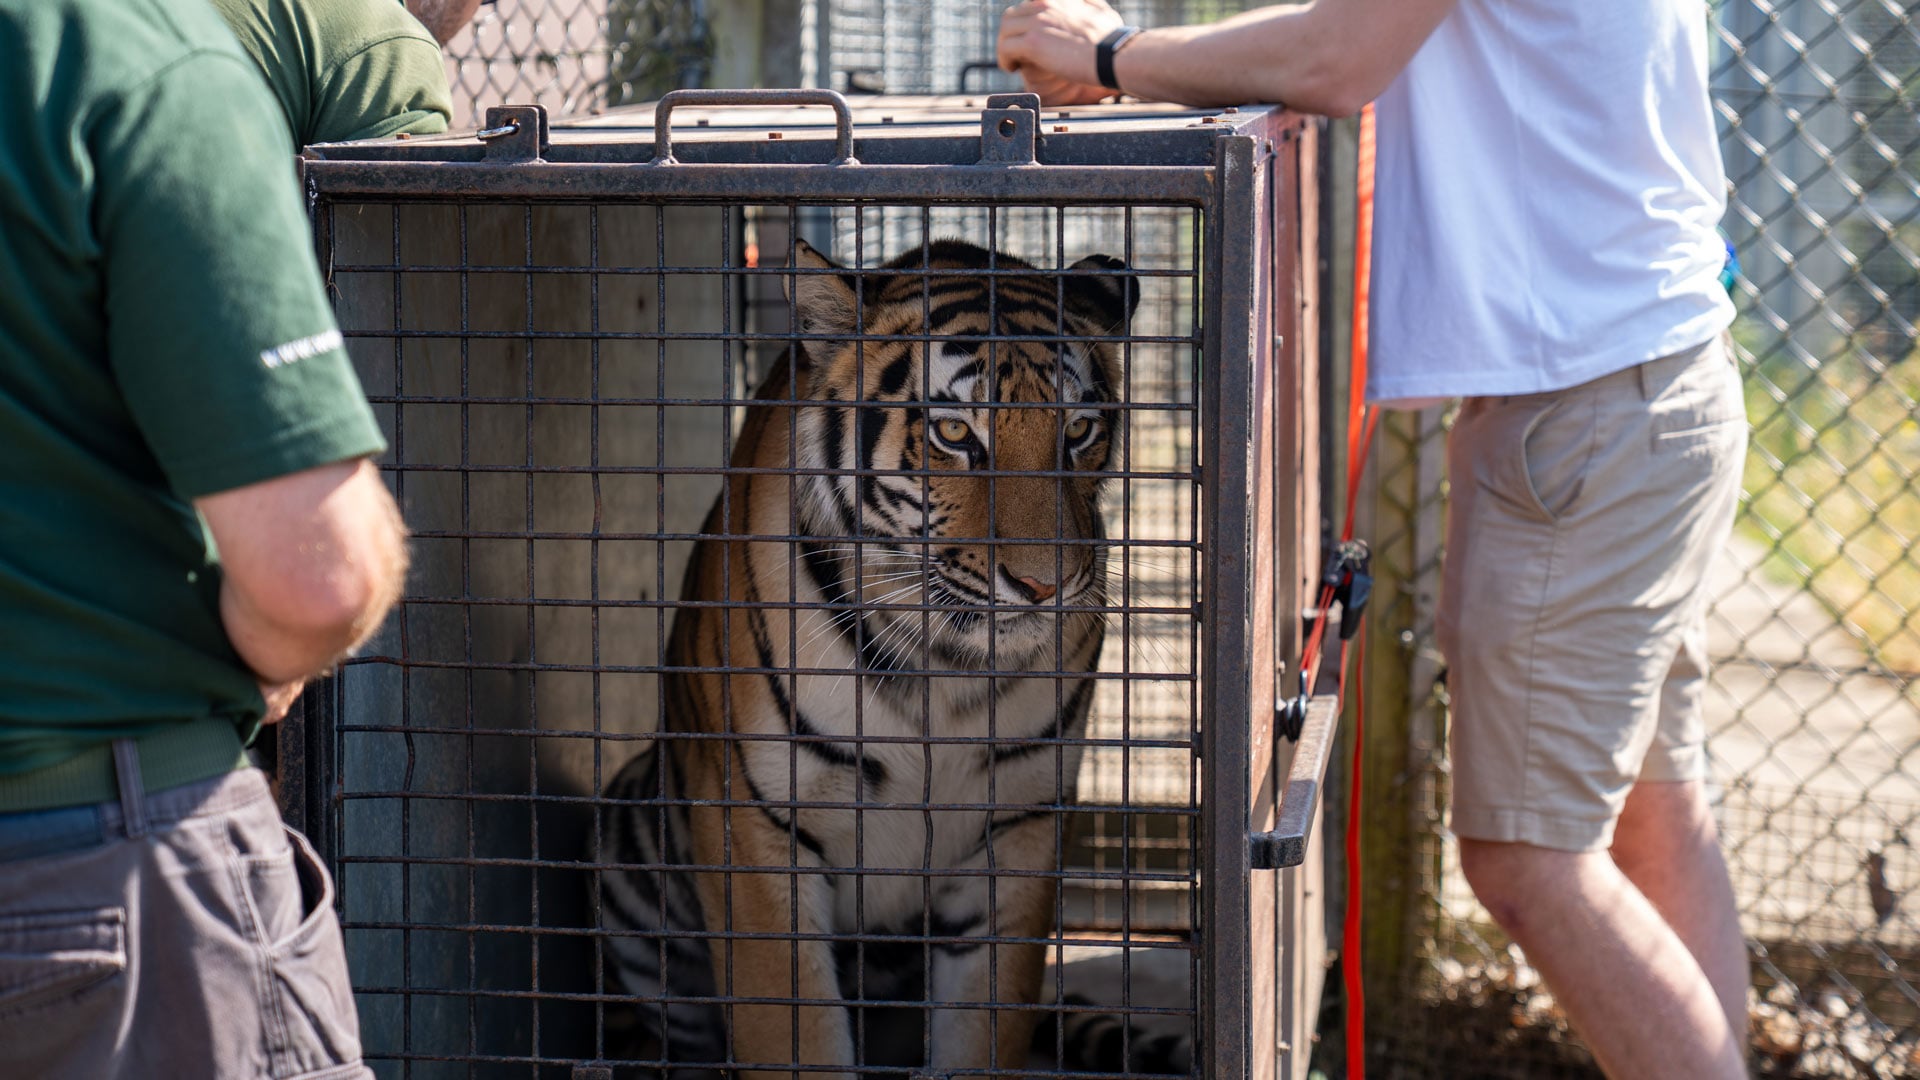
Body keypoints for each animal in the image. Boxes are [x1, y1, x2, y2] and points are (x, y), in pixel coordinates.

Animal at [598, 237, 1138, 1078]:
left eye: (1078, 431)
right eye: (956, 435)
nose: (1045, 585)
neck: (945, 666)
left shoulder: (1020, 824)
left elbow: (981, 1029)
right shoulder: (757, 826)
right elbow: (793, 1034)